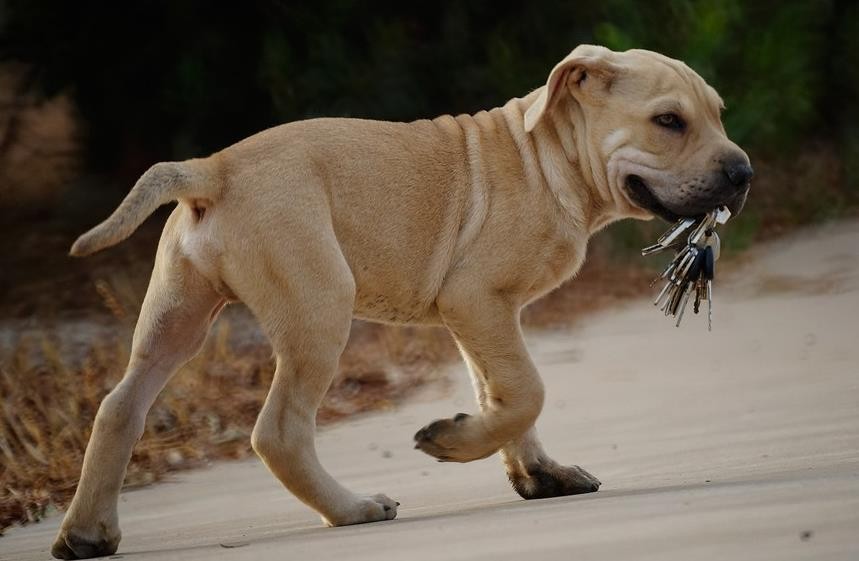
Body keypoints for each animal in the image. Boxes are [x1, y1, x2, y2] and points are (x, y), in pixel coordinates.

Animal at [53, 46, 752, 556]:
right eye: (669, 122)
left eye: (719, 114)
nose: (744, 173)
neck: (548, 156)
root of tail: (213, 168)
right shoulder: (479, 301)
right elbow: (527, 391)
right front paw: (453, 443)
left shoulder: (483, 318)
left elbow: (504, 398)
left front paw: (536, 475)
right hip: (318, 309)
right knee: (278, 431)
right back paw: (353, 510)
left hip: (177, 317)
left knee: (120, 408)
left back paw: (87, 534)